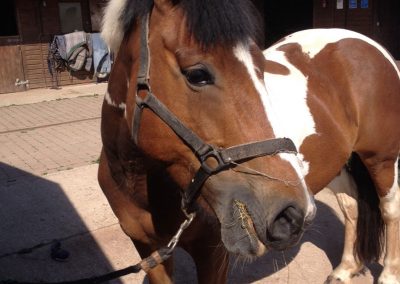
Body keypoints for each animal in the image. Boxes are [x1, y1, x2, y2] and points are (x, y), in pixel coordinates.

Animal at [97, 0, 400, 282]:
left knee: (389, 210)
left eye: (262, 69)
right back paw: (345, 269)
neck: (140, 186)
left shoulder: (212, 255)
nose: (291, 214)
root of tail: (369, 45)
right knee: (351, 207)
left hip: (382, 160)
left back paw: (388, 274)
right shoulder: (150, 251)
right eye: (197, 74)